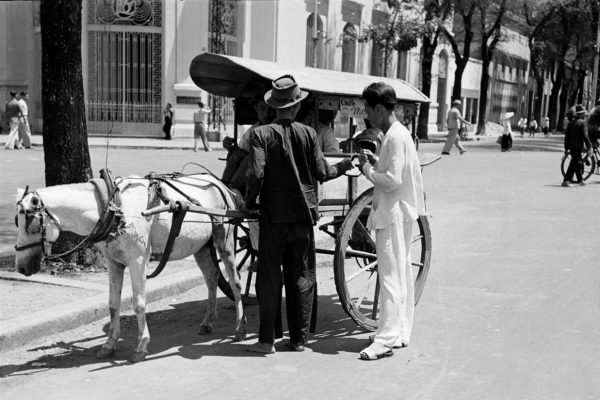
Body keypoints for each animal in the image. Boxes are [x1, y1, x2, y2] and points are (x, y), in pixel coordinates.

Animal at [14, 173, 245, 360]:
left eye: (31, 225)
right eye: (17, 222)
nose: (21, 267)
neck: (115, 209)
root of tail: (219, 183)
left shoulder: (138, 261)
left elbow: (139, 304)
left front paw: (141, 346)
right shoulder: (113, 263)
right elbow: (113, 304)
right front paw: (109, 345)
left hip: (225, 240)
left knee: (235, 282)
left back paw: (239, 328)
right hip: (201, 246)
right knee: (212, 279)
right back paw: (208, 322)